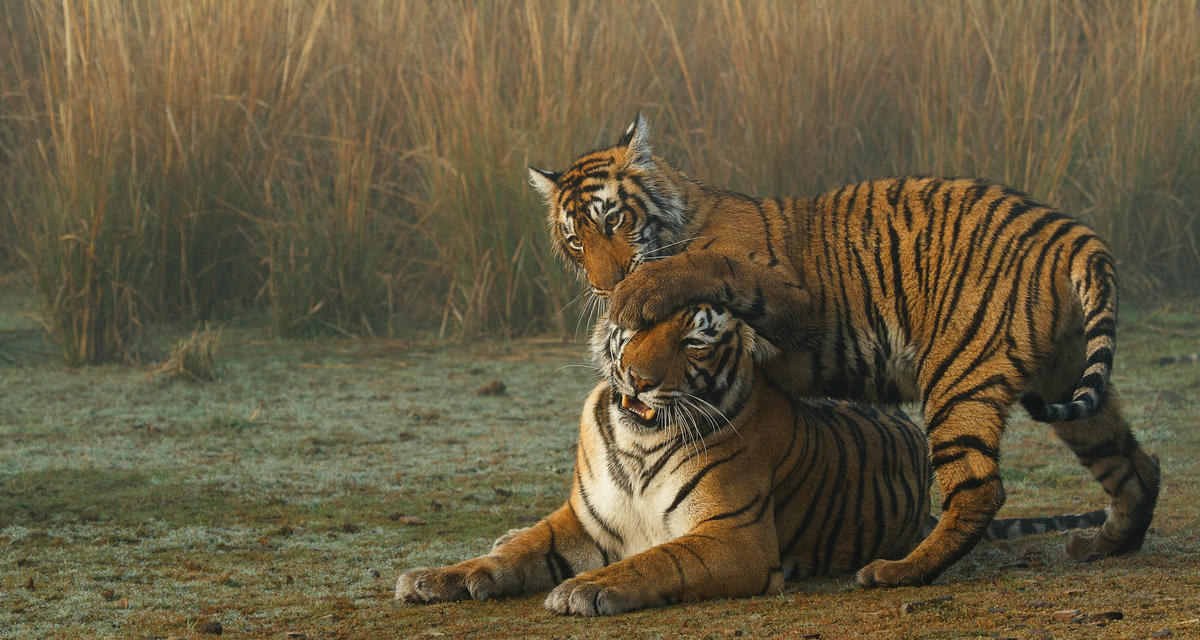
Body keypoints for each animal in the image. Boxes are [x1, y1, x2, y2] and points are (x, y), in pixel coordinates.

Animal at [398, 304, 1108, 614]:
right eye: (638, 323)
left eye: (695, 339)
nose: (638, 380)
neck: (638, 442)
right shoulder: (583, 519)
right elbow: (516, 553)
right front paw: (436, 577)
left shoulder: (733, 536)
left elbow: (657, 559)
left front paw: (586, 589)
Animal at [528, 113, 1161, 583]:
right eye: (574, 240)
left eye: (613, 219)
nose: (605, 285)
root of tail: (1072, 231)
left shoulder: (792, 296)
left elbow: (712, 265)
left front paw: (637, 295)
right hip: (1064, 375)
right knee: (1136, 462)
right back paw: (1107, 543)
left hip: (960, 373)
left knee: (982, 488)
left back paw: (900, 572)